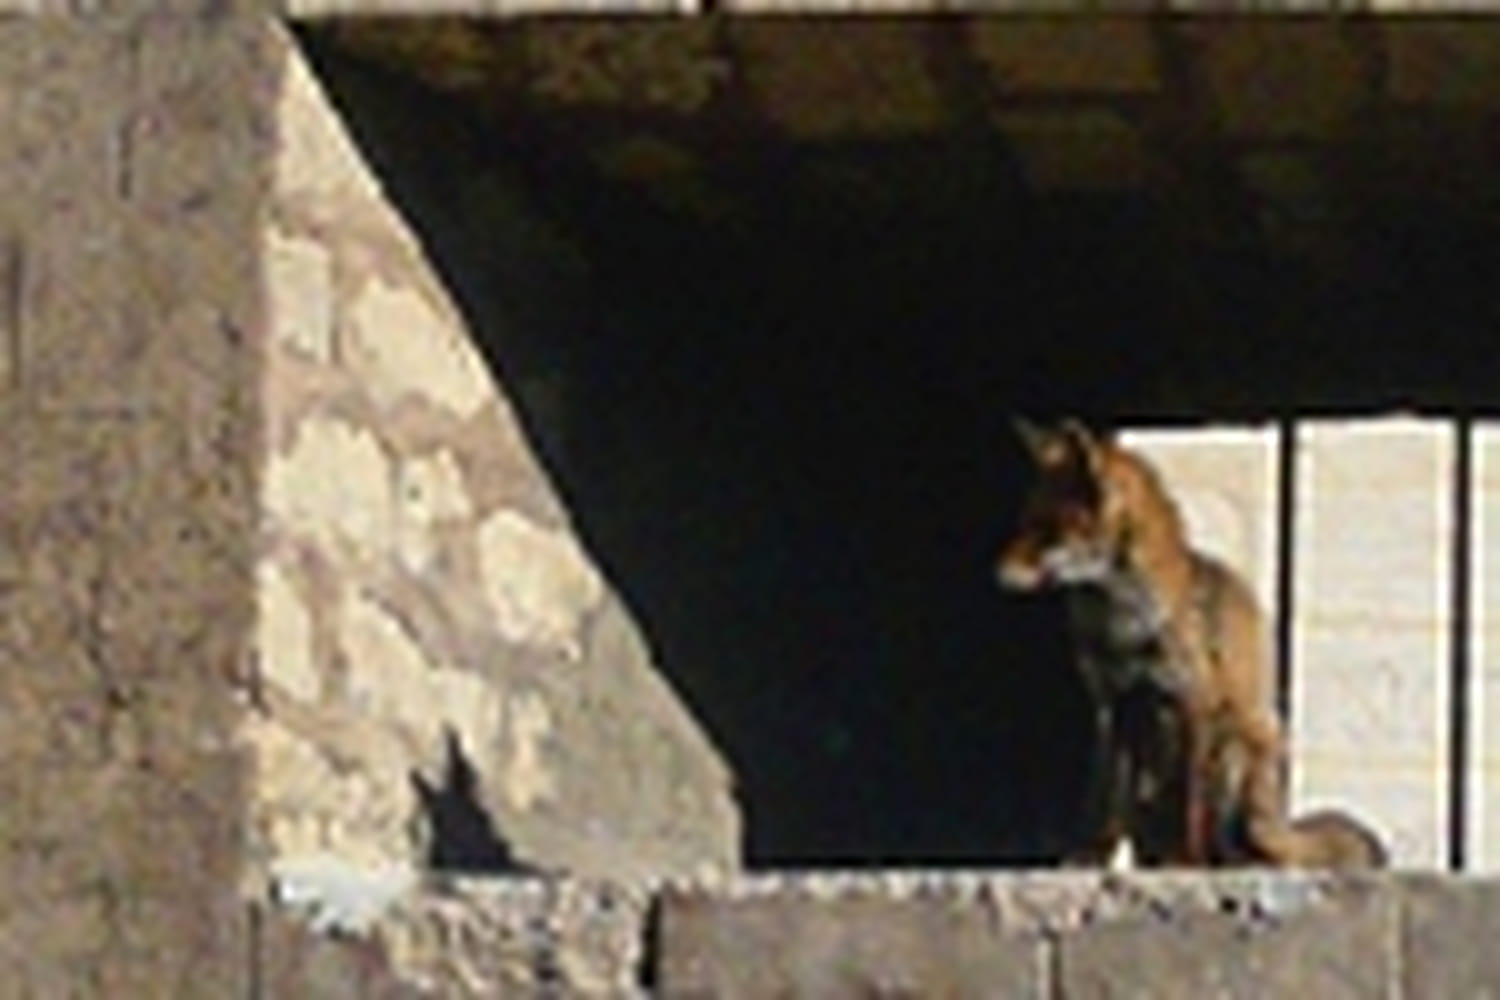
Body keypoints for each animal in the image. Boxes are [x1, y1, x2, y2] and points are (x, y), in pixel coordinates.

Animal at [997, 419, 1386, 869]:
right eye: (1025, 522)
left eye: (1048, 530)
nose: (994, 573)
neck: (1123, 626)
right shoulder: (1115, 704)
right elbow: (1103, 801)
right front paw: (1088, 858)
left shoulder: (1195, 701)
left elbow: (1190, 804)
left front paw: (1187, 862)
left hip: (1236, 743)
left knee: (1241, 850)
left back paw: (1215, 861)